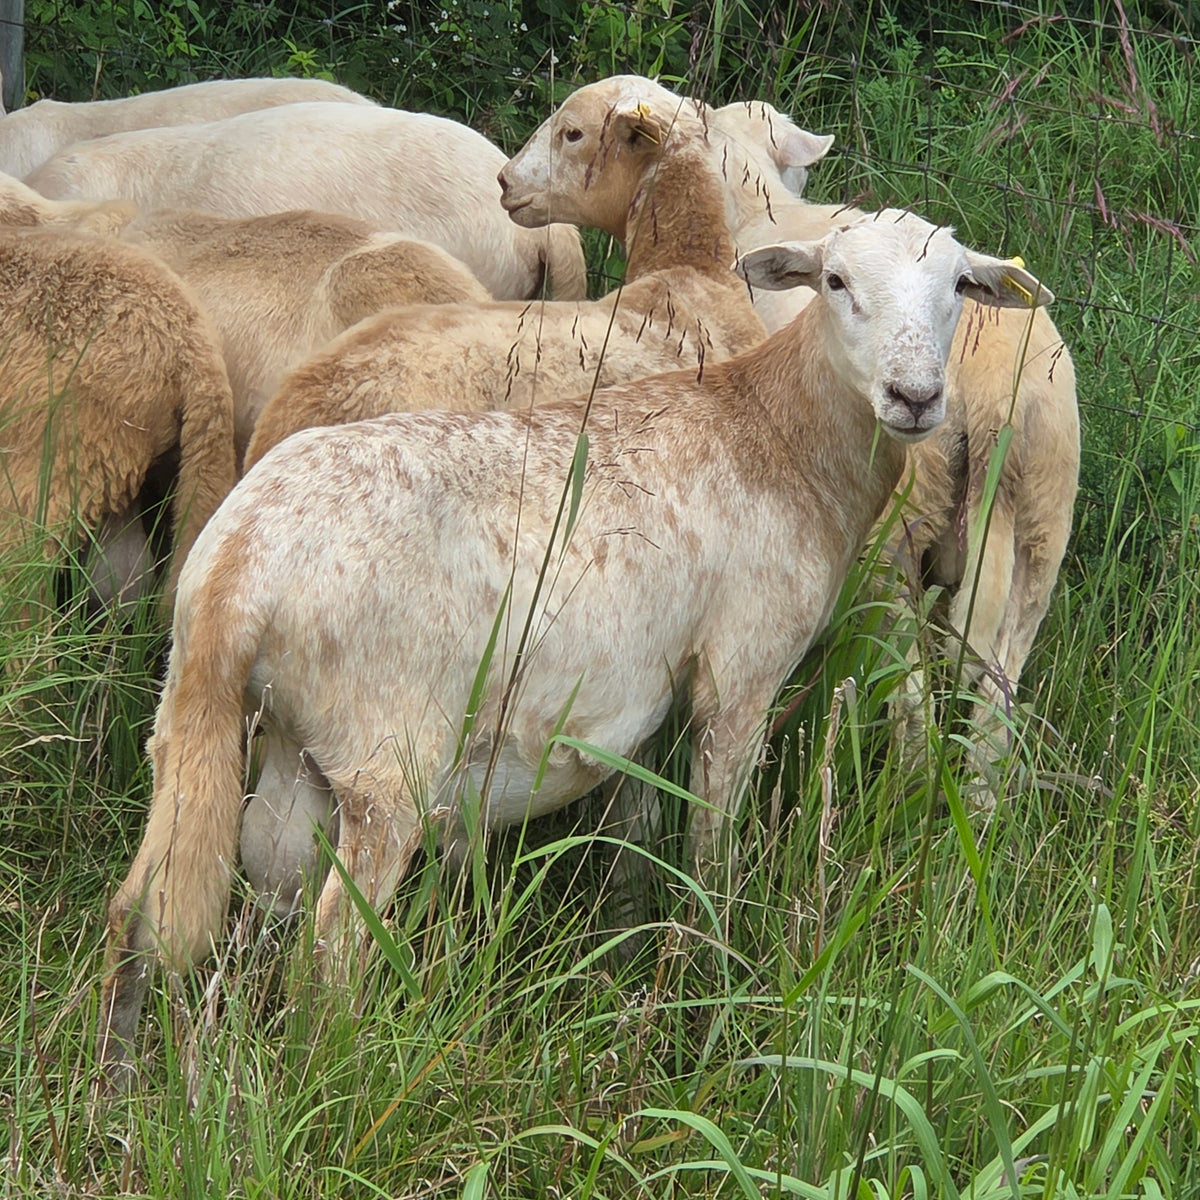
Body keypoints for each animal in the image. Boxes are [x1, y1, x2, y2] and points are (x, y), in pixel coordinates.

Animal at [96, 208, 1052, 1080]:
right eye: (838, 282)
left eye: (959, 289)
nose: (917, 399)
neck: (777, 433)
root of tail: (235, 576)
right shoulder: (742, 670)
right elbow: (711, 848)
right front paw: (706, 979)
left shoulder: (642, 696)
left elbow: (637, 828)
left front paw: (629, 952)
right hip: (386, 757)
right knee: (331, 950)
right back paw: (335, 1075)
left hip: (237, 732)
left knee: (147, 907)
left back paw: (124, 1081)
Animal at [707, 100, 1080, 795]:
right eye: (835, 280)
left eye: (960, 284)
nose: (914, 395)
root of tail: (998, 404)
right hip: (1042, 533)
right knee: (994, 709)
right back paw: (974, 811)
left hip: (895, 538)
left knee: (910, 697)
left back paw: (904, 785)